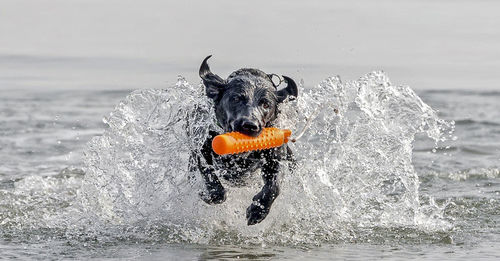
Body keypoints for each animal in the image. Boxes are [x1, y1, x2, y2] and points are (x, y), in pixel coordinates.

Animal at [189, 54, 294, 223]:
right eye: (236, 98)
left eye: (266, 104)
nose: (250, 125)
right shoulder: (200, 151)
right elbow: (214, 185)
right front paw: (207, 195)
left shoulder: (275, 159)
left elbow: (274, 187)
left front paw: (258, 211)